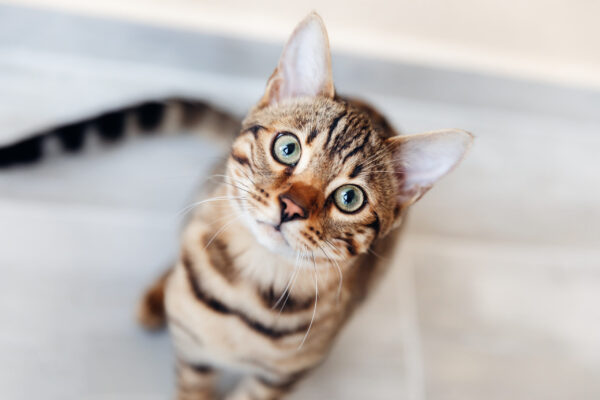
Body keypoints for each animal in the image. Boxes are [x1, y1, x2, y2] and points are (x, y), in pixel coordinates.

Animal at [0, 10, 472, 398]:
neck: (248, 291)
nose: (291, 206)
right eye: (287, 148)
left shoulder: (279, 379)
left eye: (349, 198)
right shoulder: (192, 354)